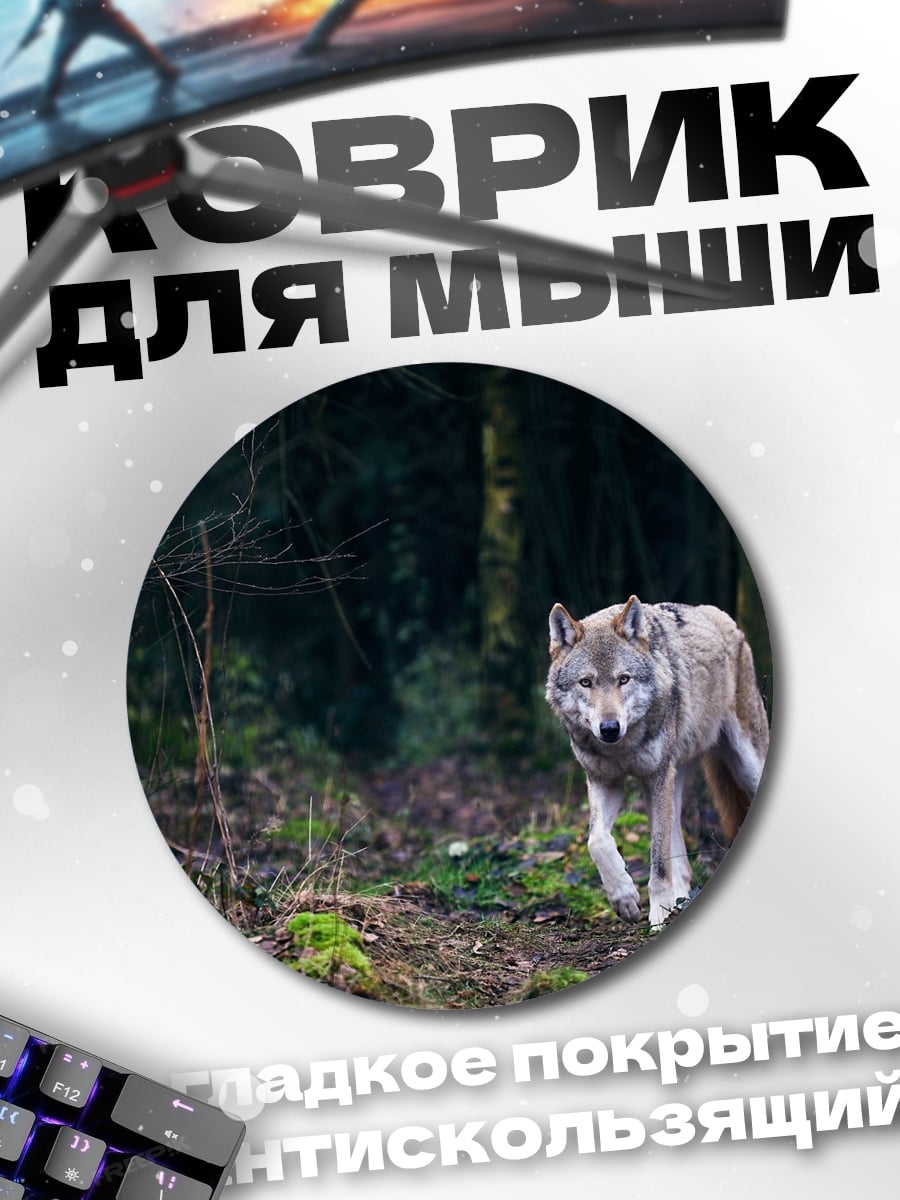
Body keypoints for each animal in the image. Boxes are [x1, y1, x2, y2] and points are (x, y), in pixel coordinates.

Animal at [546, 595, 769, 929]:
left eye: (623, 679)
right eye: (586, 682)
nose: (609, 728)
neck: (622, 748)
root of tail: (721, 616)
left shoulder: (656, 777)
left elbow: (659, 861)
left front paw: (658, 914)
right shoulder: (605, 781)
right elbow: (596, 841)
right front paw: (624, 898)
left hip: (741, 767)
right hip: (671, 784)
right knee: (680, 855)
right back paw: (680, 900)